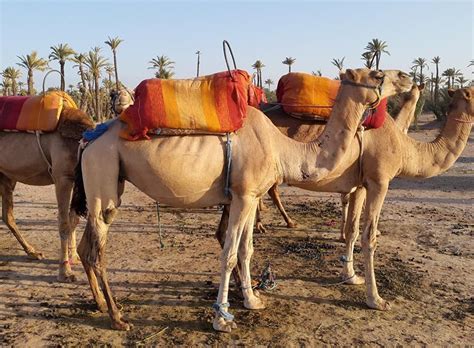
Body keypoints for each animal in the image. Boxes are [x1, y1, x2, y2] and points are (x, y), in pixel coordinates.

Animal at [0, 107, 94, 282]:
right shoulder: (62, 177)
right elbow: (64, 222)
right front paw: (65, 272)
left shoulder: (74, 178)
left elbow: (73, 220)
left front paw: (75, 257)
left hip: (6, 177)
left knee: (7, 215)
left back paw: (33, 252)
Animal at [69, 68, 412, 332]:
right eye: (377, 74)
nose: (407, 77)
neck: (281, 148)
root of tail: (88, 140)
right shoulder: (244, 196)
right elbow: (230, 254)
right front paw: (222, 318)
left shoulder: (248, 196)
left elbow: (247, 250)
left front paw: (253, 300)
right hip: (103, 174)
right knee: (97, 251)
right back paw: (117, 317)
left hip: (108, 183)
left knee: (87, 247)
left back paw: (99, 304)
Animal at [219, 85, 474, 312]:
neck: (403, 146)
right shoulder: (379, 182)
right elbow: (369, 237)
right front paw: (376, 299)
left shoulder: (359, 185)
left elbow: (353, 230)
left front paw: (351, 276)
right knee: (228, 230)